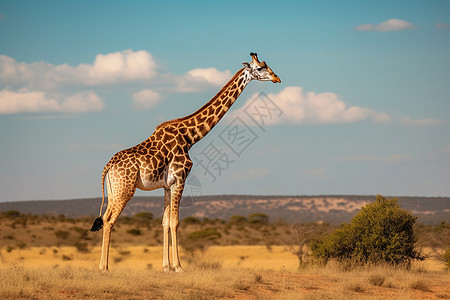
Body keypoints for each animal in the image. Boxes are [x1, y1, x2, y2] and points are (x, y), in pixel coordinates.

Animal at [90, 51, 282, 272]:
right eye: (260, 68)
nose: (277, 78)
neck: (190, 137)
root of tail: (108, 166)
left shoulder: (166, 185)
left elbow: (165, 223)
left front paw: (166, 267)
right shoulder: (180, 179)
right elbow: (175, 222)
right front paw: (179, 267)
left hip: (114, 189)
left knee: (105, 218)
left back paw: (101, 266)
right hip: (126, 189)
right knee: (110, 220)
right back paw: (104, 268)